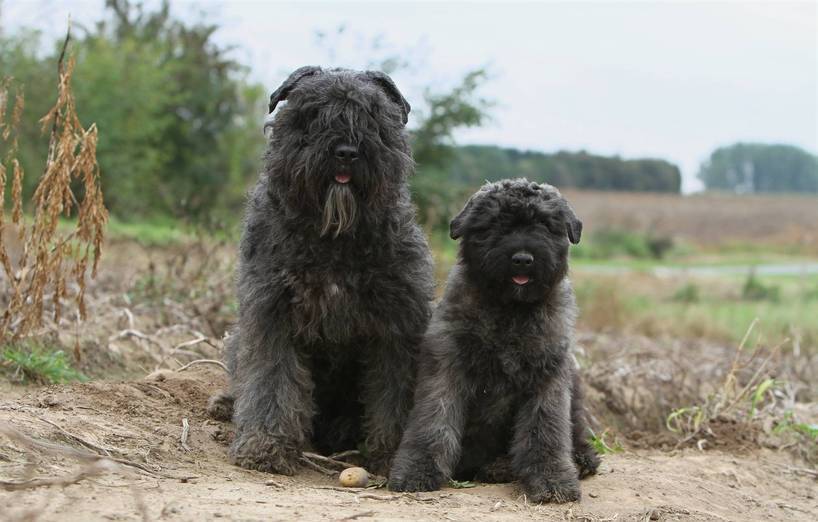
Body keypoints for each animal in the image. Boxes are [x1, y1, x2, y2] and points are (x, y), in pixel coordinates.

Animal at [209, 65, 434, 472]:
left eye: (373, 116)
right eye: (313, 114)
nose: (346, 152)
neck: (334, 237)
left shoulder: (398, 326)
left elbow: (394, 392)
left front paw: (392, 453)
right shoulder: (273, 315)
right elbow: (271, 382)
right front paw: (266, 445)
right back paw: (225, 404)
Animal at [386, 178, 596, 500]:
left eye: (544, 224)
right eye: (495, 223)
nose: (522, 259)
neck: (510, 310)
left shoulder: (546, 378)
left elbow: (546, 430)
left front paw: (553, 479)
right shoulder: (446, 367)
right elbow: (433, 421)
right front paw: (416, 471)